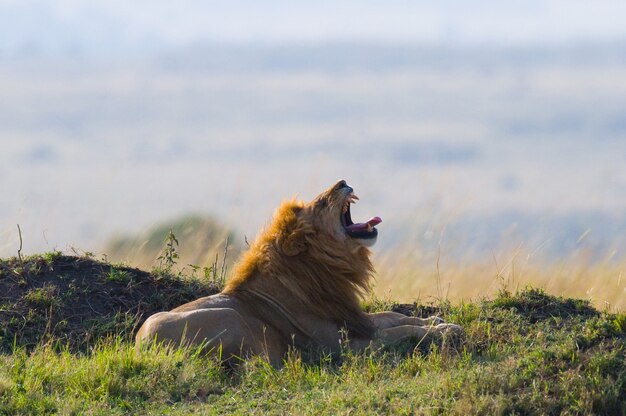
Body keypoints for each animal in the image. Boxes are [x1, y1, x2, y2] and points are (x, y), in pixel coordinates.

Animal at [135, 180, 458, 366]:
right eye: (321, 202)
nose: (343, 181)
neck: (325, 269)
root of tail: (141, 346)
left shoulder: (354, 318)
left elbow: (393, 317)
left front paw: (437, 320)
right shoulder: (340, 345)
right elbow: (397, 331)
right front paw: (441, 331)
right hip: (232, 318)